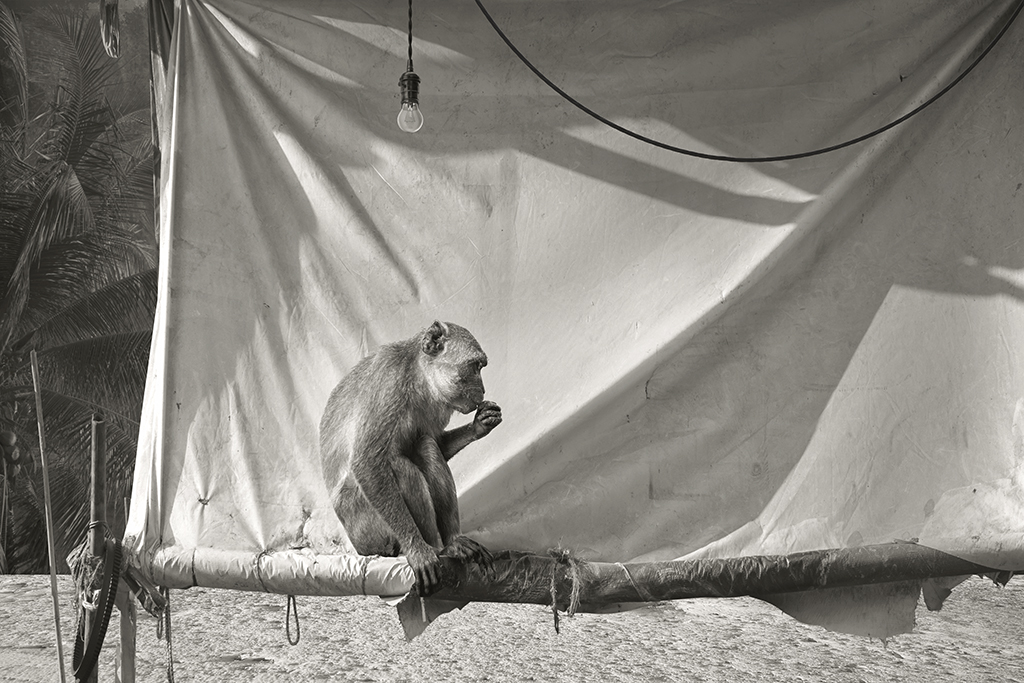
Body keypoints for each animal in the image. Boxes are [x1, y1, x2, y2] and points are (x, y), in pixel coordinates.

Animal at [319, 321, 502, 595]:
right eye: (475, 366)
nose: (482, 389)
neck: (418, 377)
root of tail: (356, 546)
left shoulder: (436, 407)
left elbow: (436, 443)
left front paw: (480, 425)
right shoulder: (389, 381)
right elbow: (367, 461)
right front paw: (417, 550)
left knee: (425, 446)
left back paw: (453, 542)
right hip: (366, 529)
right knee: (397, 466)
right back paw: (435, 548)